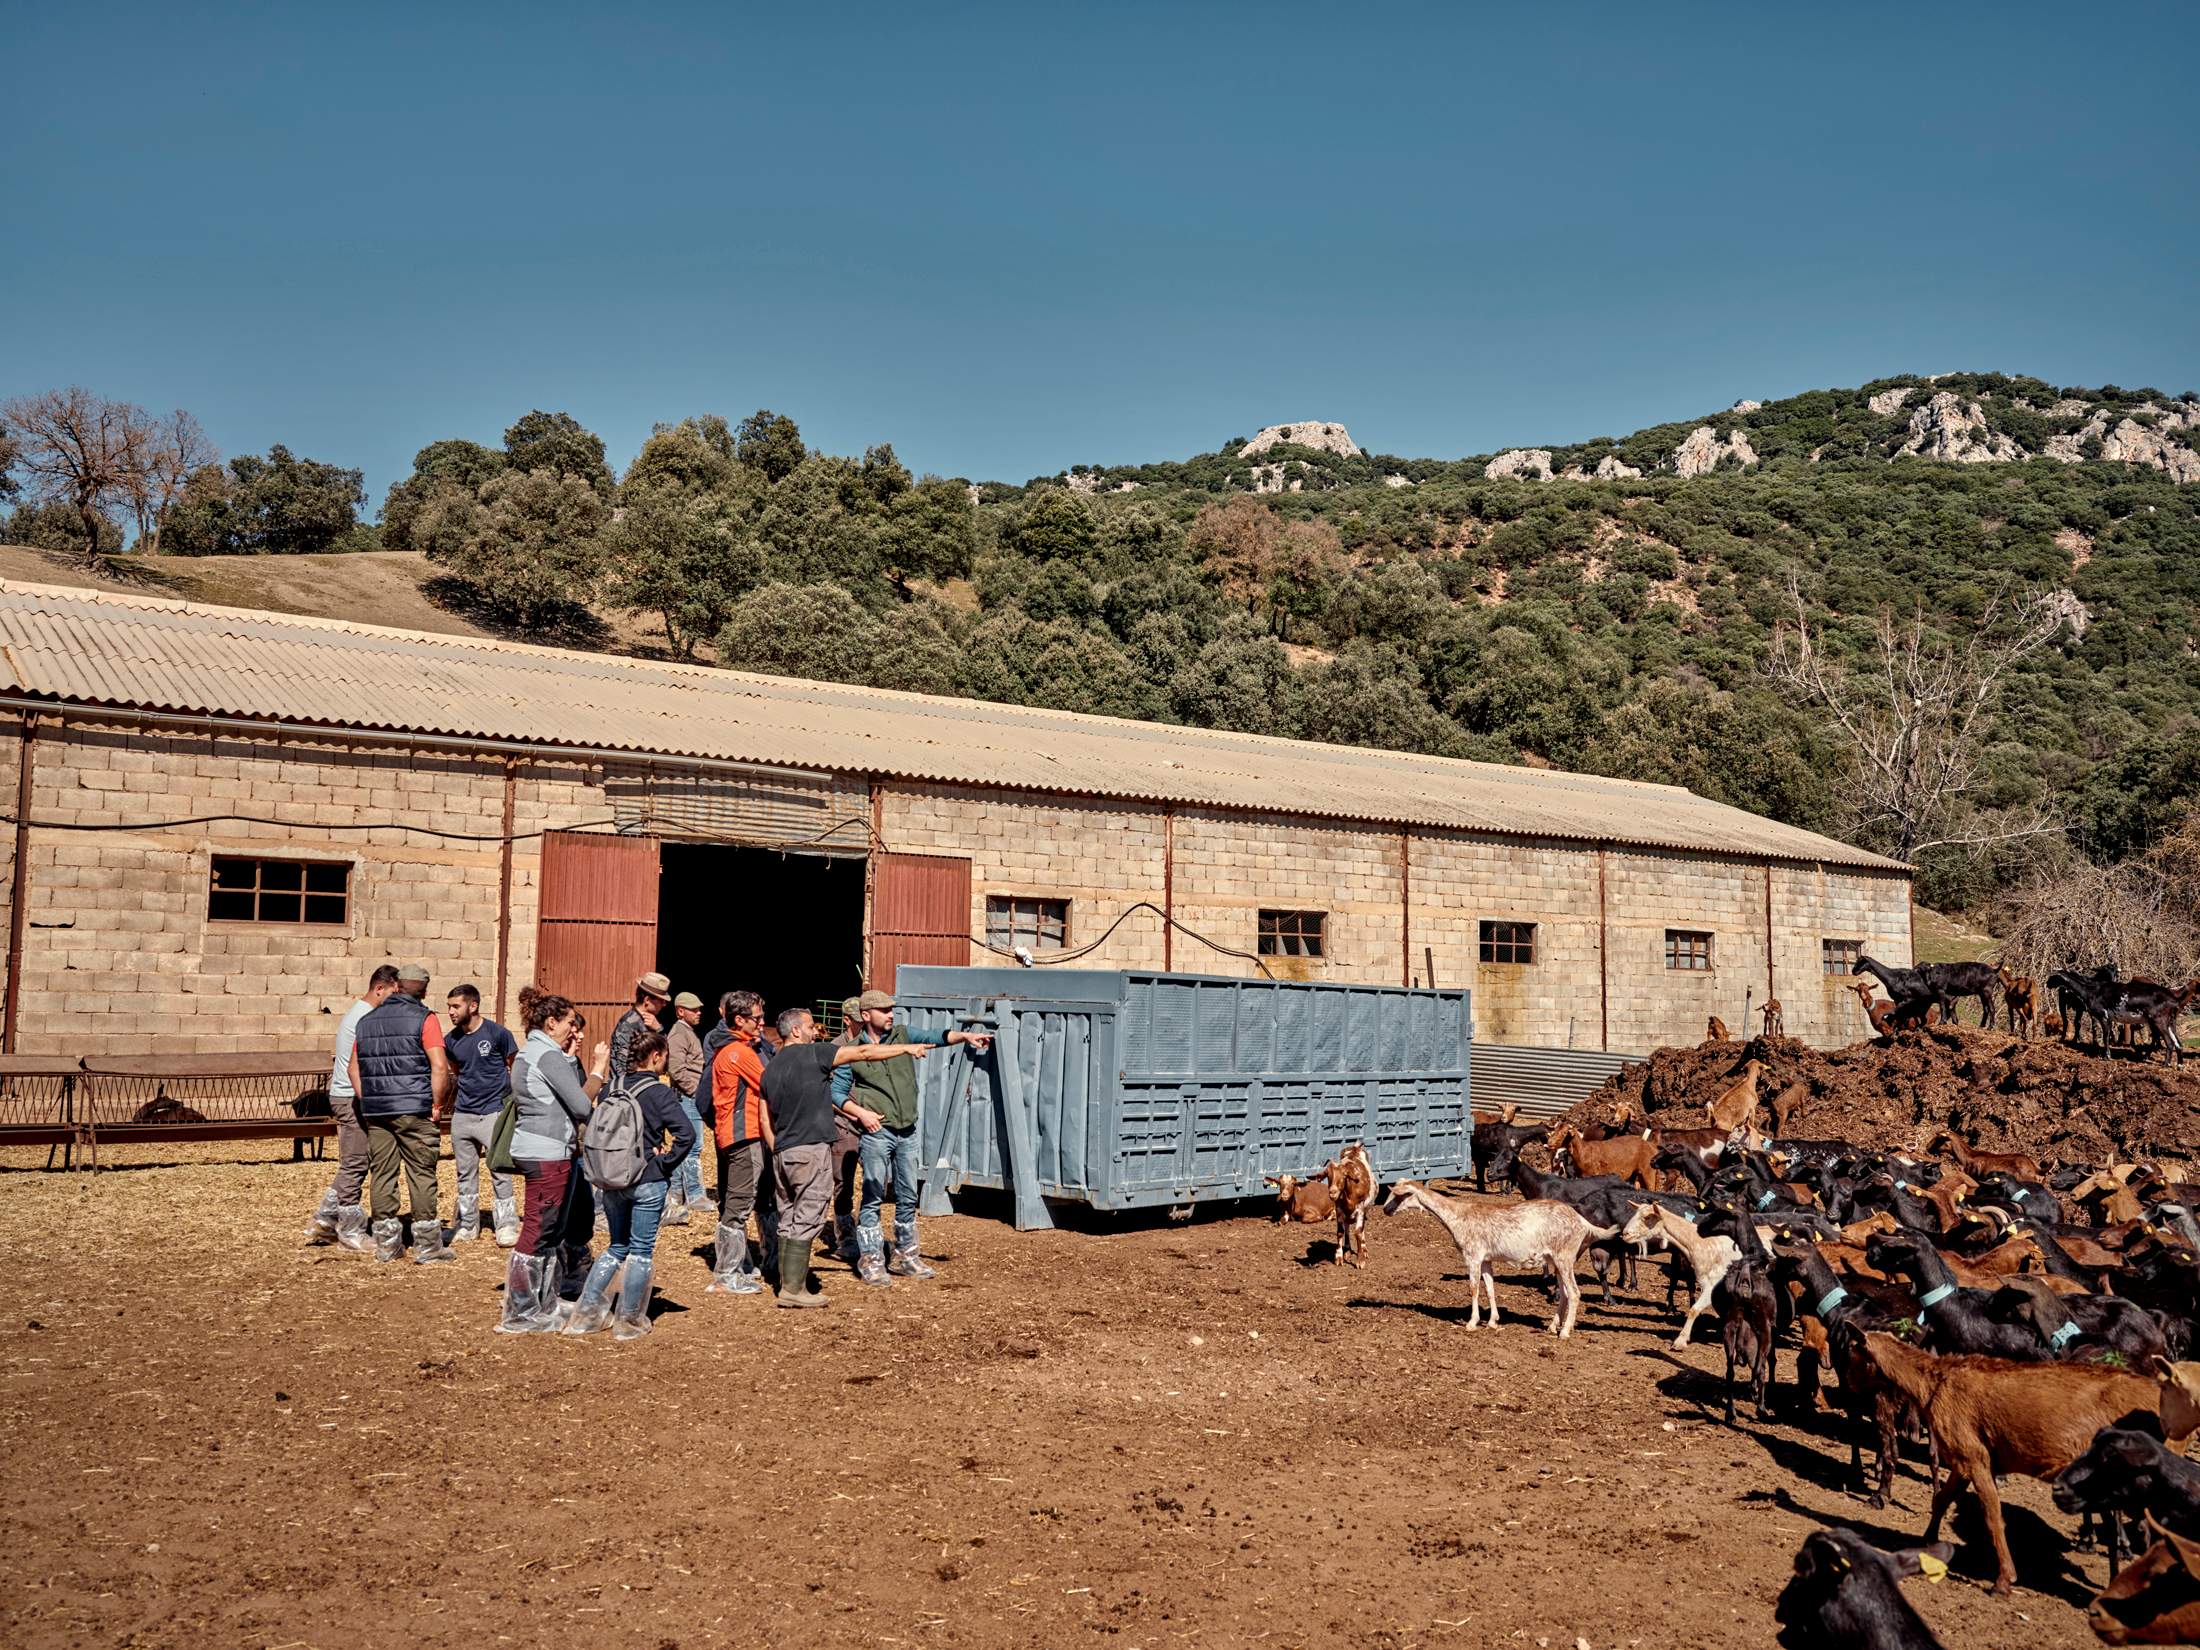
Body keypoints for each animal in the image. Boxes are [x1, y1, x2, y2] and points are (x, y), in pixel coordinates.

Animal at [1372, 1179, 1619, 1337]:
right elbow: (1490, 1288)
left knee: (1575, 1293)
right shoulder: (1486, 1259)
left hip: (1564, 1257)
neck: (1457, 1216)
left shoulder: (1472, 1255)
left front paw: (1472, 1323)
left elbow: (1473, 1288)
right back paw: (1552, 1327)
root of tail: (1582, 1222)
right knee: (1566, 1294)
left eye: (1400, 1195)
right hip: (1557, 1260)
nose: (1385, 1210)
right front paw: (1492, 1321)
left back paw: (1565, 1332)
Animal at [1856, 1337, 2182, 1592]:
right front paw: (1927, 1541)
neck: (1935, 1382)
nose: (1851, 1387)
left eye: (1852, 1349)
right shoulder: (1963, 1461)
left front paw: (2004, 1580)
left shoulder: (1974, 1456)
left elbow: (1992, 1516)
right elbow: (1941, 1500)